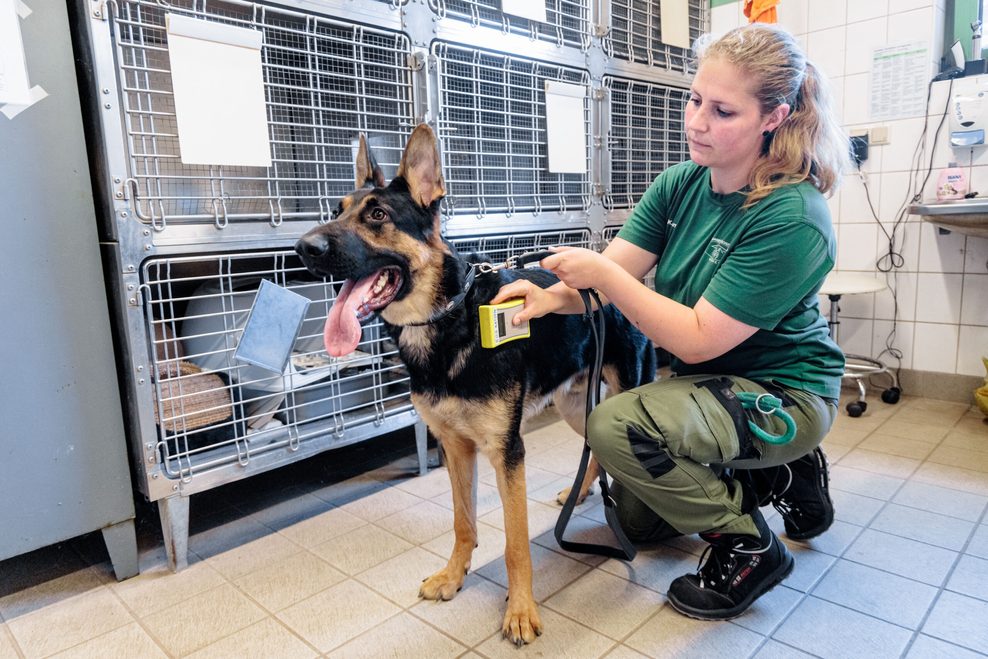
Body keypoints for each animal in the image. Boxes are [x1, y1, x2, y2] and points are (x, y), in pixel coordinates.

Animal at [302, 124, 656, 644]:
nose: (302, 248)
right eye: (335, 211)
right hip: (577, 406)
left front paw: (521, 610)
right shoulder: (454, 446)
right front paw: (454, 576)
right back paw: (580, 493)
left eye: (378, 215)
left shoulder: (506, 452)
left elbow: (514, 544)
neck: (449, 317)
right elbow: (462, 521)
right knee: (592, 449)